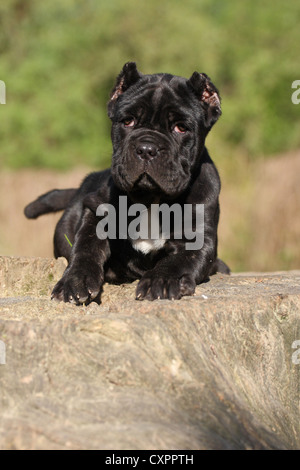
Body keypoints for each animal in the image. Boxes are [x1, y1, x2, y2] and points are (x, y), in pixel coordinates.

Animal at [24, 62, 229, 304]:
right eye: (127, 121)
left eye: (181, 128)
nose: (147, 148)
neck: (151, 199)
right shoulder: (96, 209)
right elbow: (86, 246)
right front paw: (75, 280)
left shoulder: (197, 237)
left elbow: (178, 261)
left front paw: (161, 280)